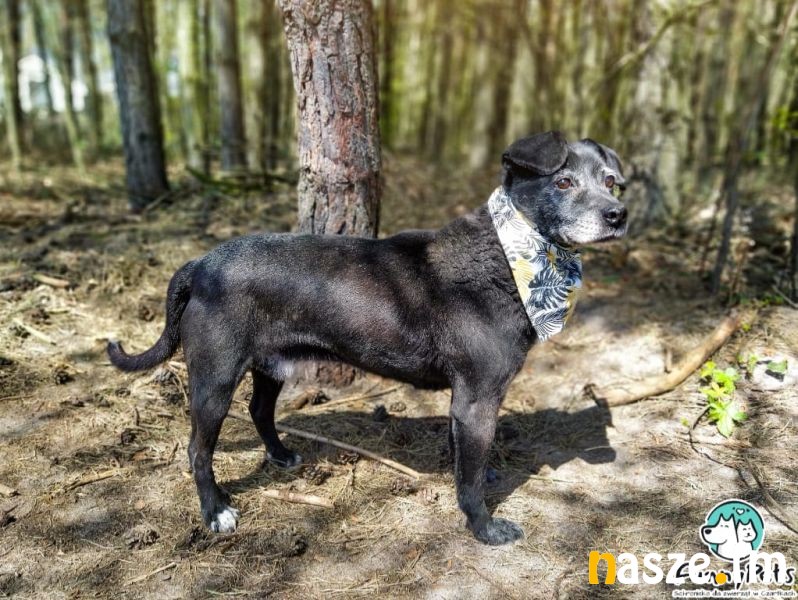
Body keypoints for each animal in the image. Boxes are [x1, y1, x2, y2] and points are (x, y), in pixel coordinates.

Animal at [108, 131, 627, 545]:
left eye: (610, 182)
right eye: (563, 183)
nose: (618, 215)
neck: (508, 254)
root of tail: (201, 264)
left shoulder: (466, 402)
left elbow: (468, 459)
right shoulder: (478, 397)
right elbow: (471, 478)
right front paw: (484, 527)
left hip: (271, 363)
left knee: (259, 410)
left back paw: (281, 455)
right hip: (215, 377)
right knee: (198, 449)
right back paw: (216, 512)